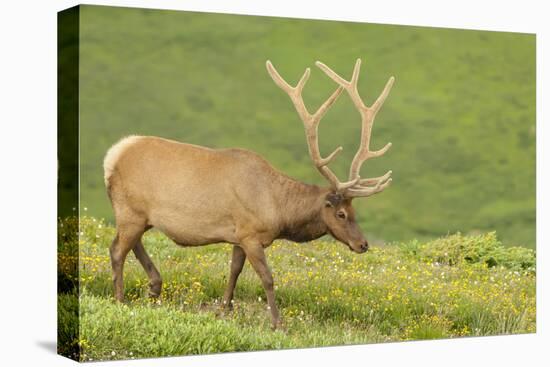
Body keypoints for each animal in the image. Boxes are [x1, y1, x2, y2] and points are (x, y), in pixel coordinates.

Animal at [104, 59, 396, 330]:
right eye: (341, 213)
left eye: (355, 211)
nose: (363, 244)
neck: (279, 211)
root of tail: (111, 156)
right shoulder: (251, 234)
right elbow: (267, 277)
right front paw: (277, 323)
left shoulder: (238, 235)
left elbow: (234, 270)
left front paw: (224, 309)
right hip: (129, 210)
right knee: (117, 250)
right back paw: (120, 299)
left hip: (138, 214)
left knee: (132, 244)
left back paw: (154, 286)